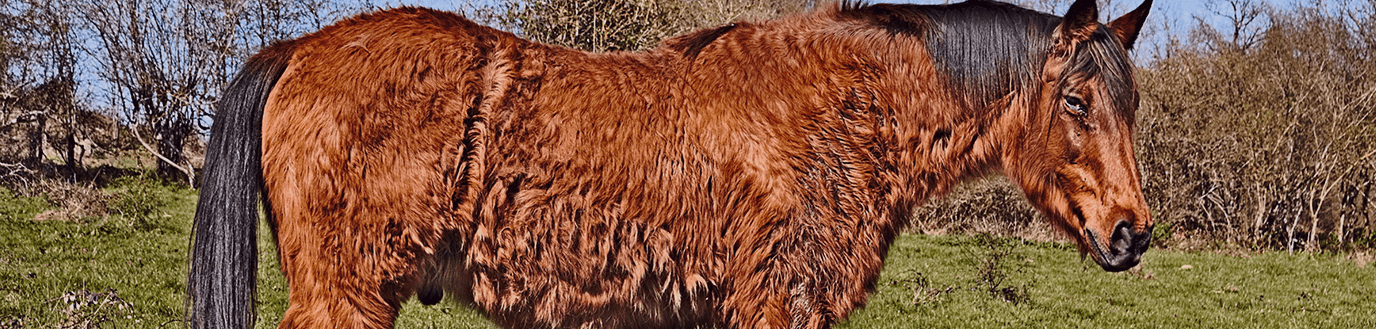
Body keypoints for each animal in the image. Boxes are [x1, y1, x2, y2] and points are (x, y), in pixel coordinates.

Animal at [183, 0, 1150, 327]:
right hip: (346, 295)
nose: (1132, 232)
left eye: (1131, 103)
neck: (833, 108)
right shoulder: (778, 306)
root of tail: (300, 47)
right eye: (1076, 101)